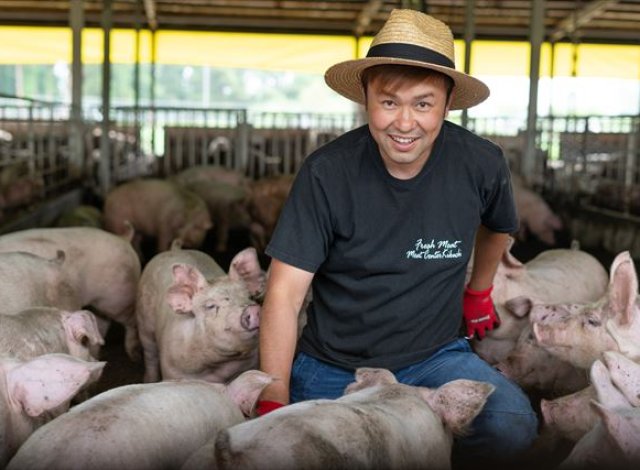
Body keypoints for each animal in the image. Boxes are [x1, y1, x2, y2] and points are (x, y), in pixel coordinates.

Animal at [136, 244, 264, 384]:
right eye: (210, 306)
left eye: (250, 297)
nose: (252, 309)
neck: (219, 367)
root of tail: (176, 249)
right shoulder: (171, 370)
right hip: (144, 322)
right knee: (150, 354)